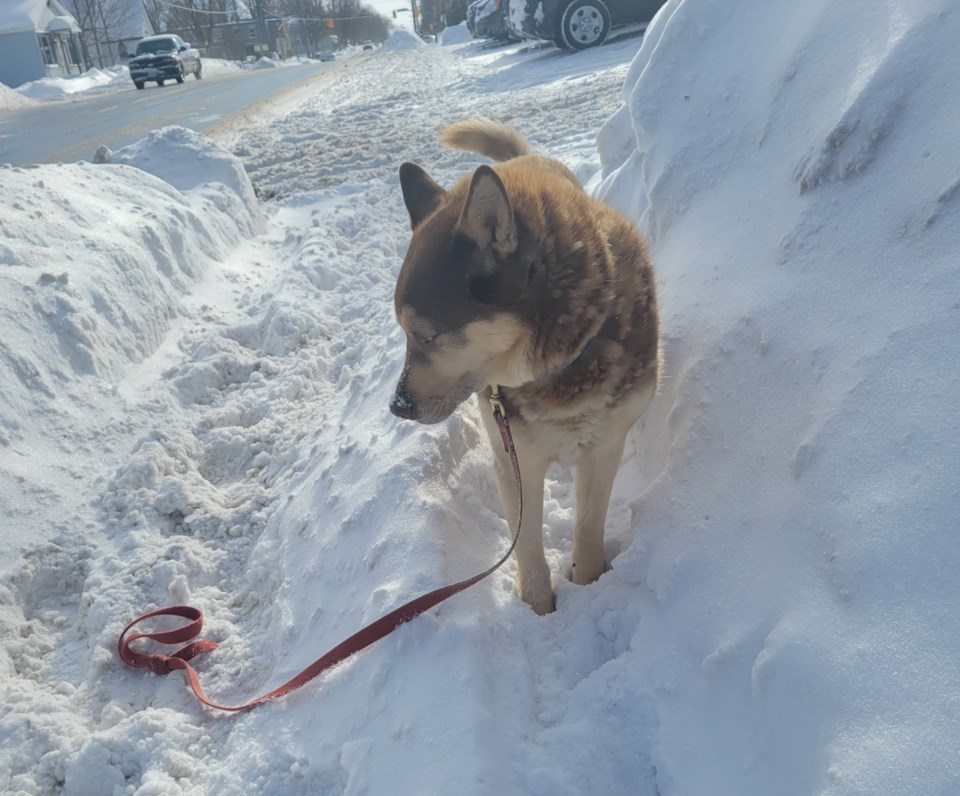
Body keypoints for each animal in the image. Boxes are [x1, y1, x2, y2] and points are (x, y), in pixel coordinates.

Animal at [390, 118, 660, 616]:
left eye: (426, 336)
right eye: (403, 332)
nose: (397, 406)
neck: (560, 366)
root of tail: (521, 161)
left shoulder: (606, 446)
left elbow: (588, 528)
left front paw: (587, 582)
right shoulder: (512, 456)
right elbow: (528, 546)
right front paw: (538, 611)